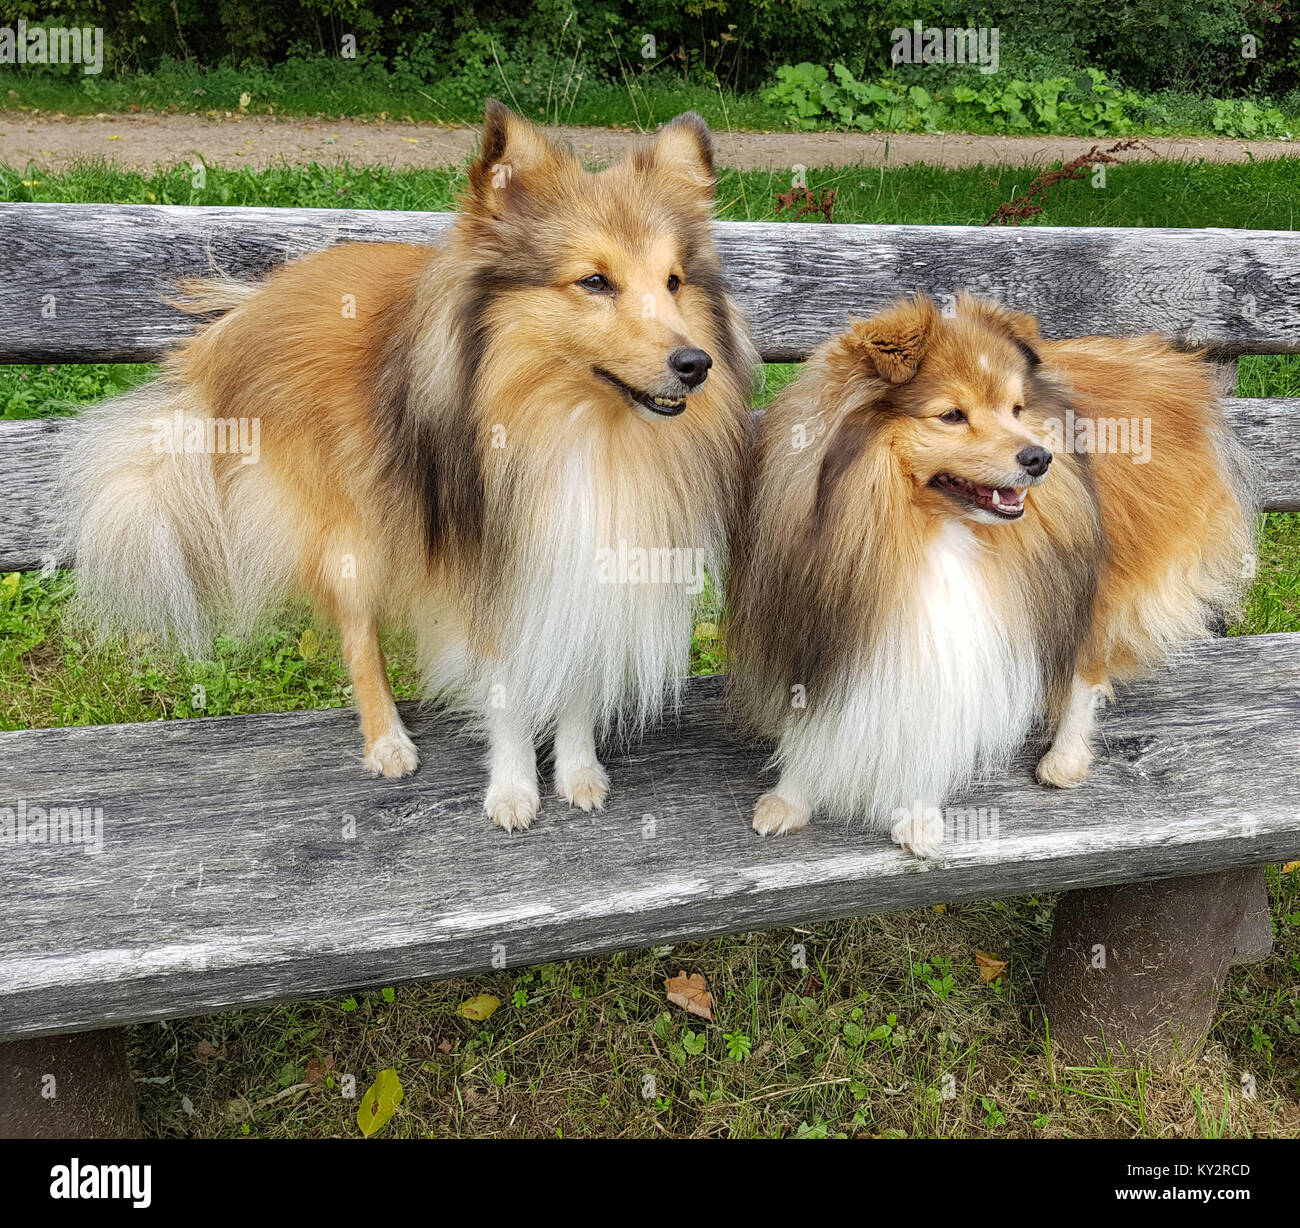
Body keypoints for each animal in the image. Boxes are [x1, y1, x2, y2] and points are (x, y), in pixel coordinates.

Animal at [61, 103, 759, 831]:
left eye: (673, 282)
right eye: (595, 281)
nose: (696, 364)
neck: (582, 427)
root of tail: (247, 312)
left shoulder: (590, 558)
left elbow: (575, 673)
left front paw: (579, 772)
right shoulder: (486, 559)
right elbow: (505, 687)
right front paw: (513, 790)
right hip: (350, 534)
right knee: (358, 638)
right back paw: (388, 741)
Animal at [728, 293, 1253, 857]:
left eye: (1017, 410)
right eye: (952, 415)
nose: (1040, 457)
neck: (921, 529)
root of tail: (1170, 366)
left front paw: (917, 816)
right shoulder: (817, 618)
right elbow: (814, 722)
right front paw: (790, 799)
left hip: (1094, 576)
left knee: (1086, 668)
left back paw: (1065, 757)